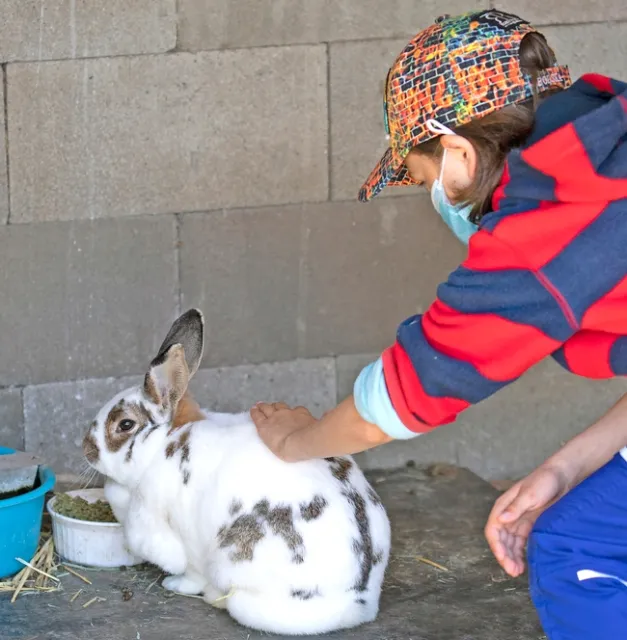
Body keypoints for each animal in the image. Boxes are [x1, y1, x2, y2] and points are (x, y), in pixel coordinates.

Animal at [82, 309, 391, 636]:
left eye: (125, 425)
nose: (86, 448)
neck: (160, 447)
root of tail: (356, 602)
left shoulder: (183, 541)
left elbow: (191, 573)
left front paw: (174, 584)